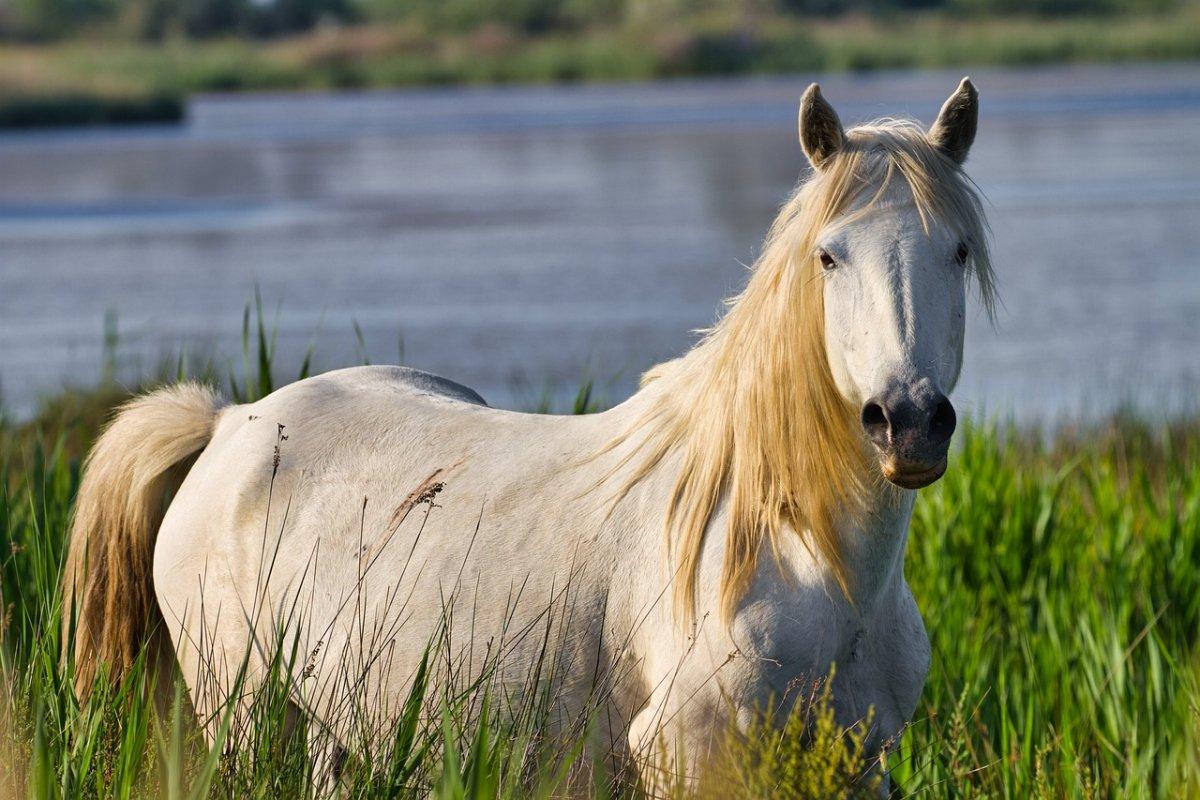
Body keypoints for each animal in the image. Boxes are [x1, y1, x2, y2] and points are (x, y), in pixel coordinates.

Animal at [63, 77, 993, 791]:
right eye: (829, 256)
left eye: (956, 251)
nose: (907, 424)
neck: (801, 552)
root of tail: (229, 424)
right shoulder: (690, 756)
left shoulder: (858, 764)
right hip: (247, 719)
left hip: (337, 735)